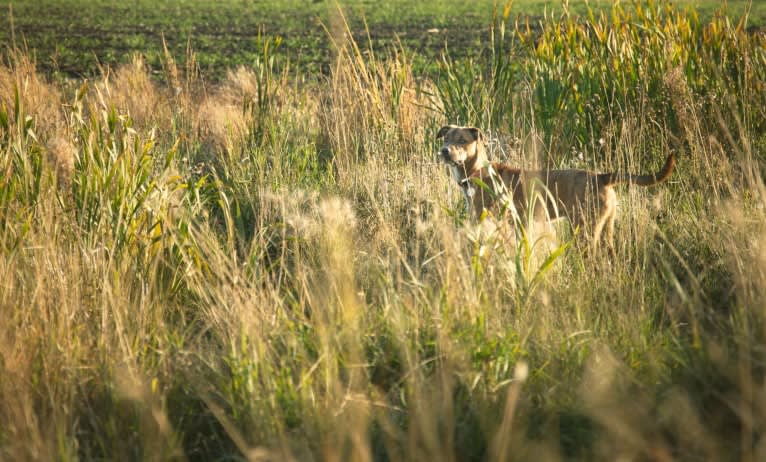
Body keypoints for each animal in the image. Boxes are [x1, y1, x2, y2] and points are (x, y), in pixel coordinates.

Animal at [438, 123, 680, 249]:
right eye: (446, 139)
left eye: (462, 141)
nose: (444, 151)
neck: (479, 171)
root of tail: (602, 177)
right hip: (606, 227)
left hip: (585, 229)